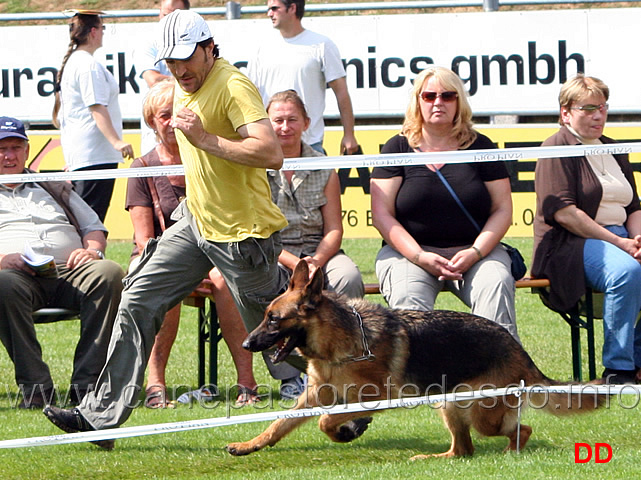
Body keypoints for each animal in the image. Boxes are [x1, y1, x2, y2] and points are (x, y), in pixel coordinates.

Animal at [225, 260, 600, 460]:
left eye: (274, 320)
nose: (246, 343)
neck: (339, 341)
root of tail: (518, 348)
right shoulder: (315, 394)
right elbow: (278, 424)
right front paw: (249, 445)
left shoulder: (376, 397)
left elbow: (326, 420)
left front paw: (343, 431)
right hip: (449, 406)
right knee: (463, 450)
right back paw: (436, 458)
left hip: (481, 414)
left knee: (521, 428)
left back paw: (511, 452)